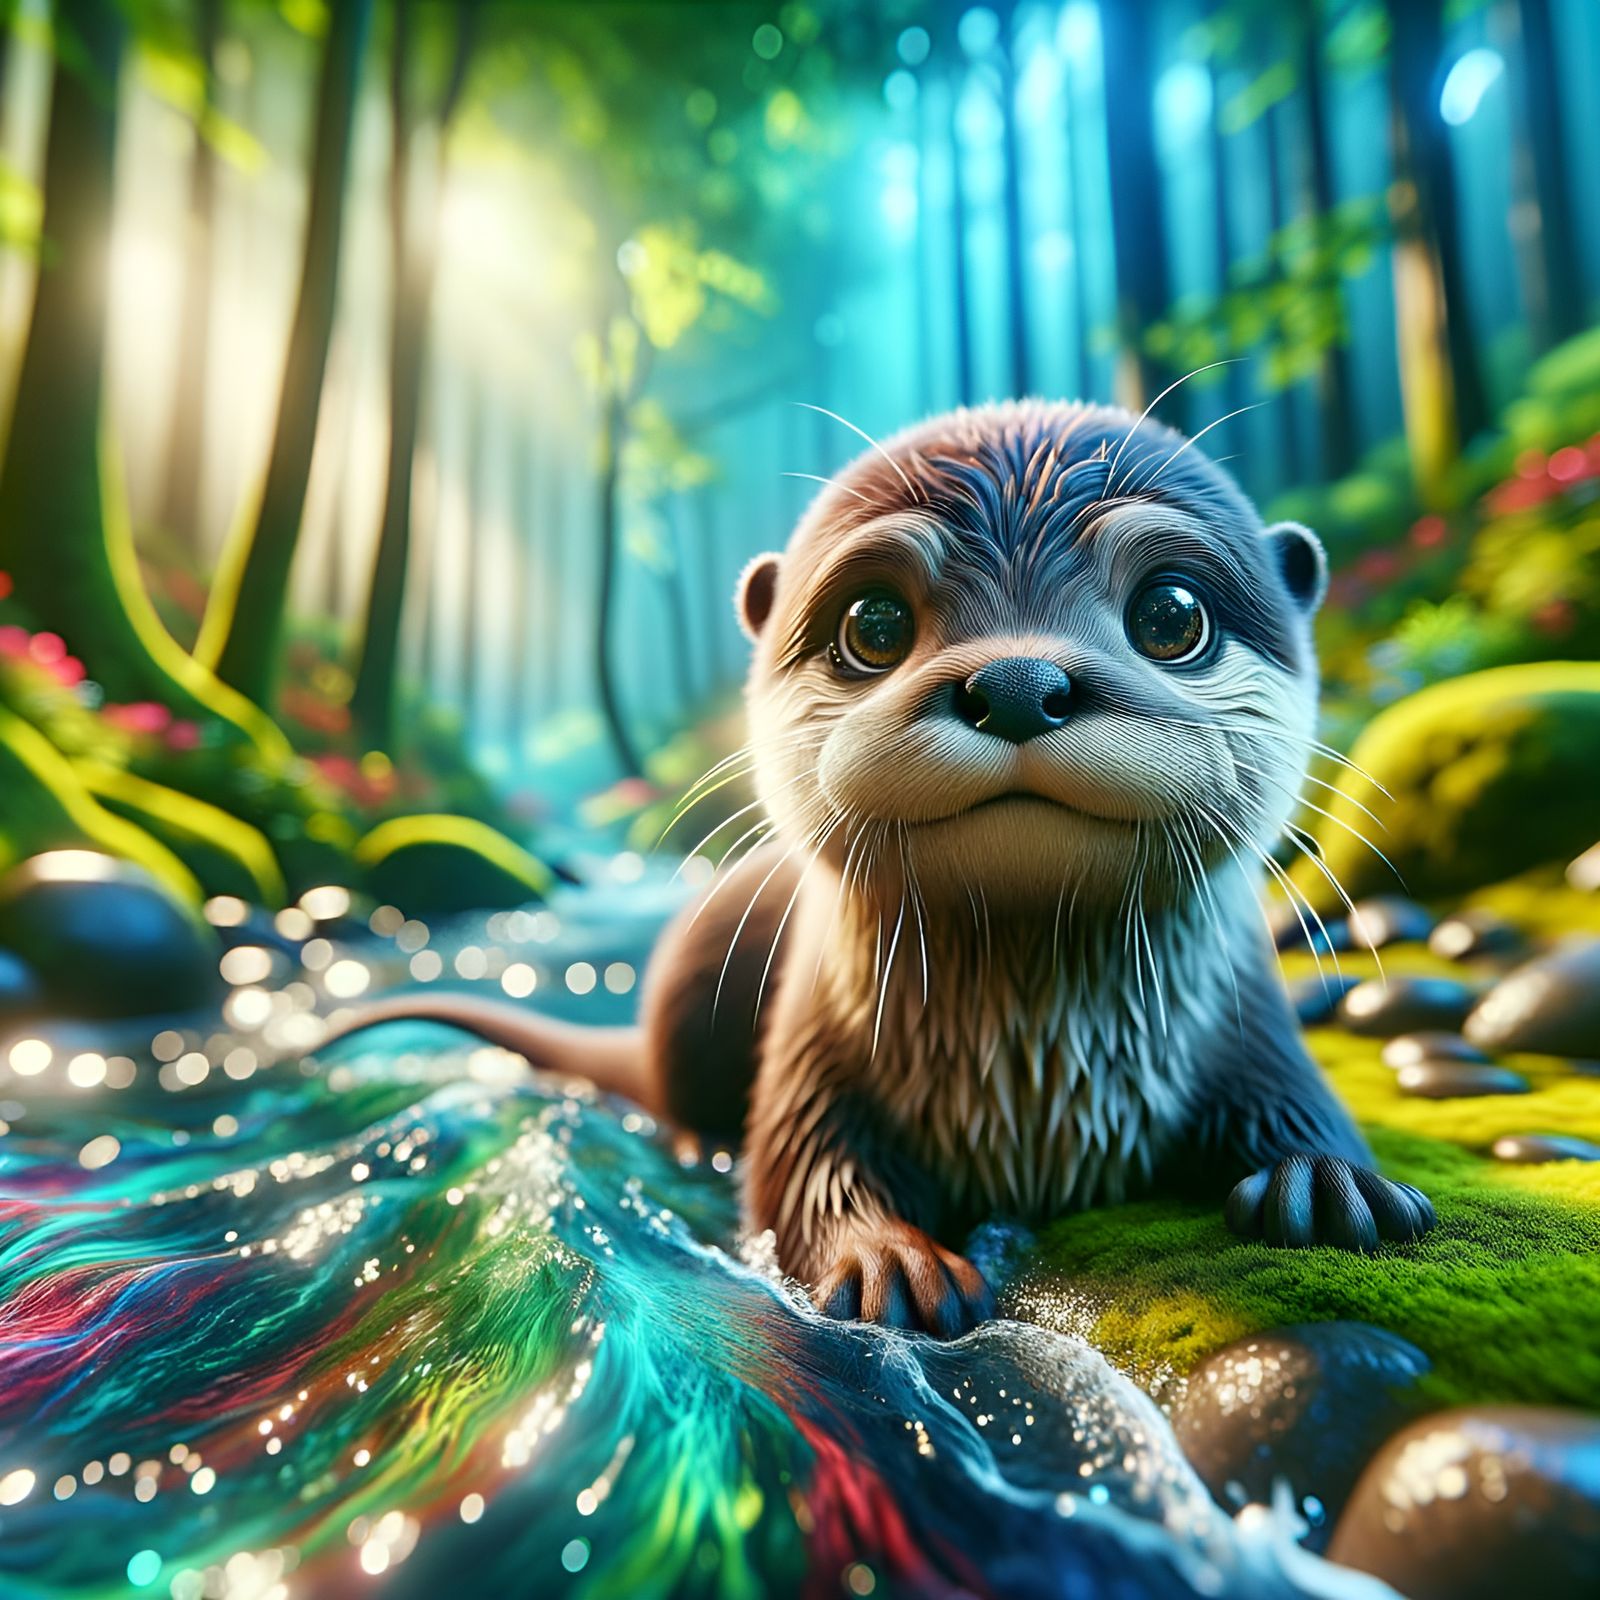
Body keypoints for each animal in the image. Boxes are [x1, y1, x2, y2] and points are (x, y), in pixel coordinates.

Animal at [329, 400, 1435, 1337]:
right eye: (874, 625)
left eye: (1171, 615)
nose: (1017, 681)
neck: (1033, 1078)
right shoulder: (813, 1044)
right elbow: (800, 1168)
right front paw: (885, 1258)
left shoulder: (1247, 1022)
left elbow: (1294, 1100)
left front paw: (1328, 1182)